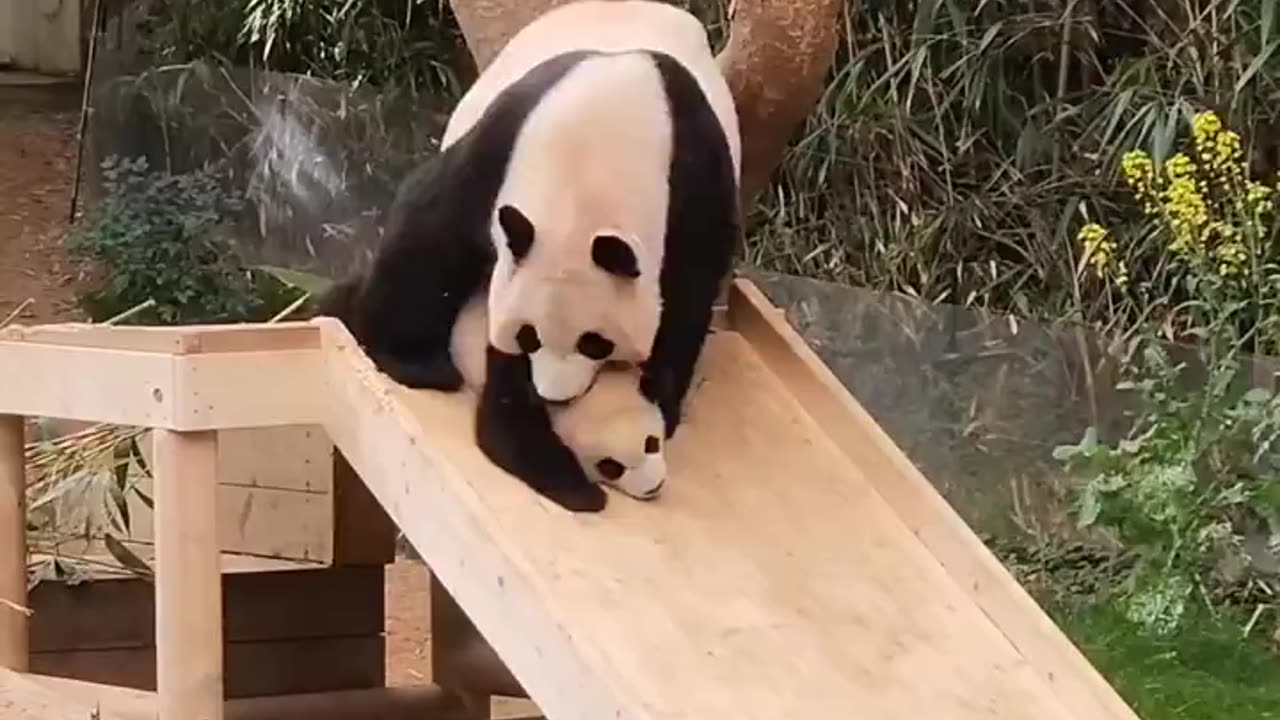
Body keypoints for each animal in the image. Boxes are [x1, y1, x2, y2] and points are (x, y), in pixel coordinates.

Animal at [353, 0, 742, 509]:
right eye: (528, 336)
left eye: (595, 342)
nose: (554, 397)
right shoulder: (504, 143)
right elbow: (432, 228)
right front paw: (412, 361)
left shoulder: (693, 188)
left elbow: (685, 303)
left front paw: (660, 402)